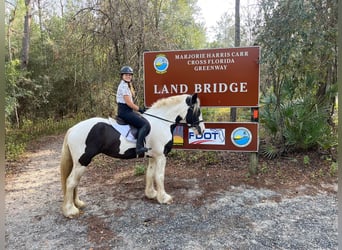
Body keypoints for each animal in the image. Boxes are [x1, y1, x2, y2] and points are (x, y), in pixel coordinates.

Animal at [59, 93, 204, 218]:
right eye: (197, 111)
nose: (201, 130)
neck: (161, 123)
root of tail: (73, 129)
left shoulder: (153, 157)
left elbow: (150, 174)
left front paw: (151, 194)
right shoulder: (161, 157)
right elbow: (159, 176)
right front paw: (164, 198)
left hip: (79, 163)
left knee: (75, 182)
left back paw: (77, 204)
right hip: (82, 161)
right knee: (71, 182)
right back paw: (70, 210)